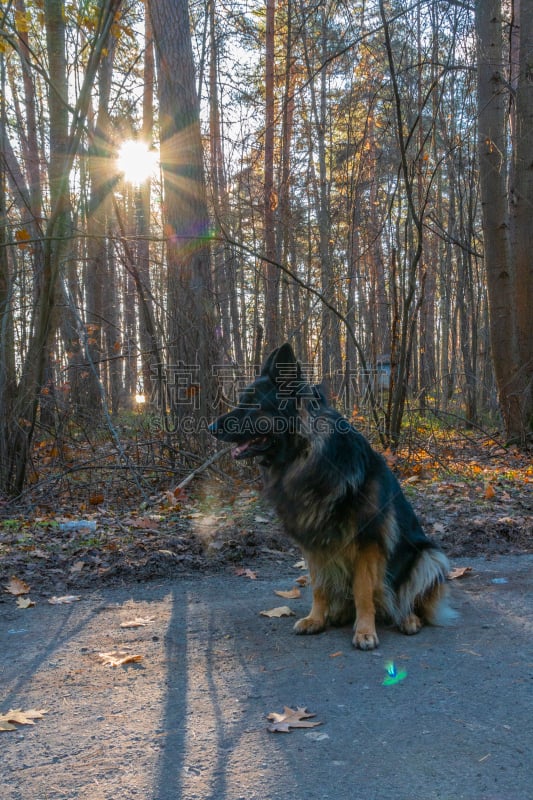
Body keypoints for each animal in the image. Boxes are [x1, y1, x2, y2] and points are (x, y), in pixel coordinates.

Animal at [208, 344, 454, 648]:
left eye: (254, 404)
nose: (211, 428)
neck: (307, 455)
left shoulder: (367, 542)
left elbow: (363, 591)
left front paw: (365, 631)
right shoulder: (313, 541)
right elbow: (319, 586)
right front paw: (316, 619)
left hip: (429, 557)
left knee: (405, 597)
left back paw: (407, 618)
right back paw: (338, 615)